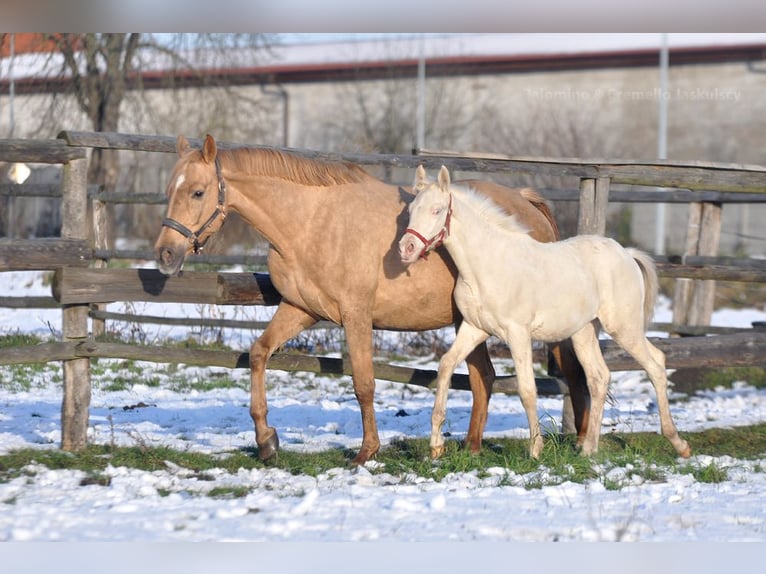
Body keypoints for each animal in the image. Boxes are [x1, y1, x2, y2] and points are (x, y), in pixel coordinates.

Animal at [154, 134, 591, 465]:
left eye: (197, 192)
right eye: (169, 190)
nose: (165, 254)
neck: (311, 222)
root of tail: (526, 202)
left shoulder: (356, 315)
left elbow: (363, 382)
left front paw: (367, 451)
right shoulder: (300, 310)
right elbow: (259, 354)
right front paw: (266, 440)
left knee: (570, 373)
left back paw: (581, 441)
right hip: (468, 322)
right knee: (483, 378)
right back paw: (469, 448)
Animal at [399, 165, 691, 460]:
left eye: (437, 210)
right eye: (411, 209)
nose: (406, 248)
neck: (488, 264)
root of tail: (626, 253)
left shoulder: (517, 333)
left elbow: (527, 389)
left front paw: (536, 449)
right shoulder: (474, 328)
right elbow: (446, 365)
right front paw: (436, 445)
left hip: (624, 327)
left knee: (656, 363)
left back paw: (678, 443)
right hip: (584, 332)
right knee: (599, 377)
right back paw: (588, 449)